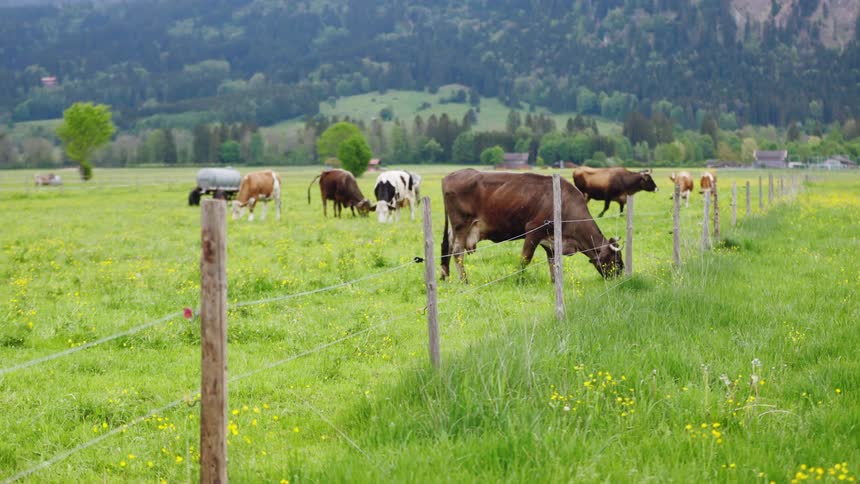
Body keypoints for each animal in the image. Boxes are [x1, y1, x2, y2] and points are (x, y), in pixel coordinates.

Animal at [440, 169, 623, 282]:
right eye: (616, 260)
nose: (620, 276)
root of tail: (449, 176)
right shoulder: (534, 230)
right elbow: (525, 259)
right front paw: (519, 280)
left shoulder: (551, 239)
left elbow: (553, 262)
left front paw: (554, 281)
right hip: (462, 224)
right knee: (457, 252)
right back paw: (464, 280)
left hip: (458, 228)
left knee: (448, 245)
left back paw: (445, 276)